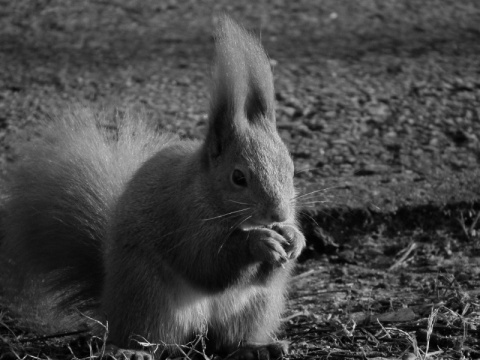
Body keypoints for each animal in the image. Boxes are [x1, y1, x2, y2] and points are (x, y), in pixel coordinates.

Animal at [1, 15, 306, 358]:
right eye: (238, 178)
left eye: (291, 168)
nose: (278, 214)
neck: (208, 192)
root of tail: (110, 301)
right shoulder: (182, 218)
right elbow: (205, 261)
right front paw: (259, 242)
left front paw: (294, 238)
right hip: (149, 297)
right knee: (150, 337)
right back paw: (133, 350)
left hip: (255, 307)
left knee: (229, 339)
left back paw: (257, 346)